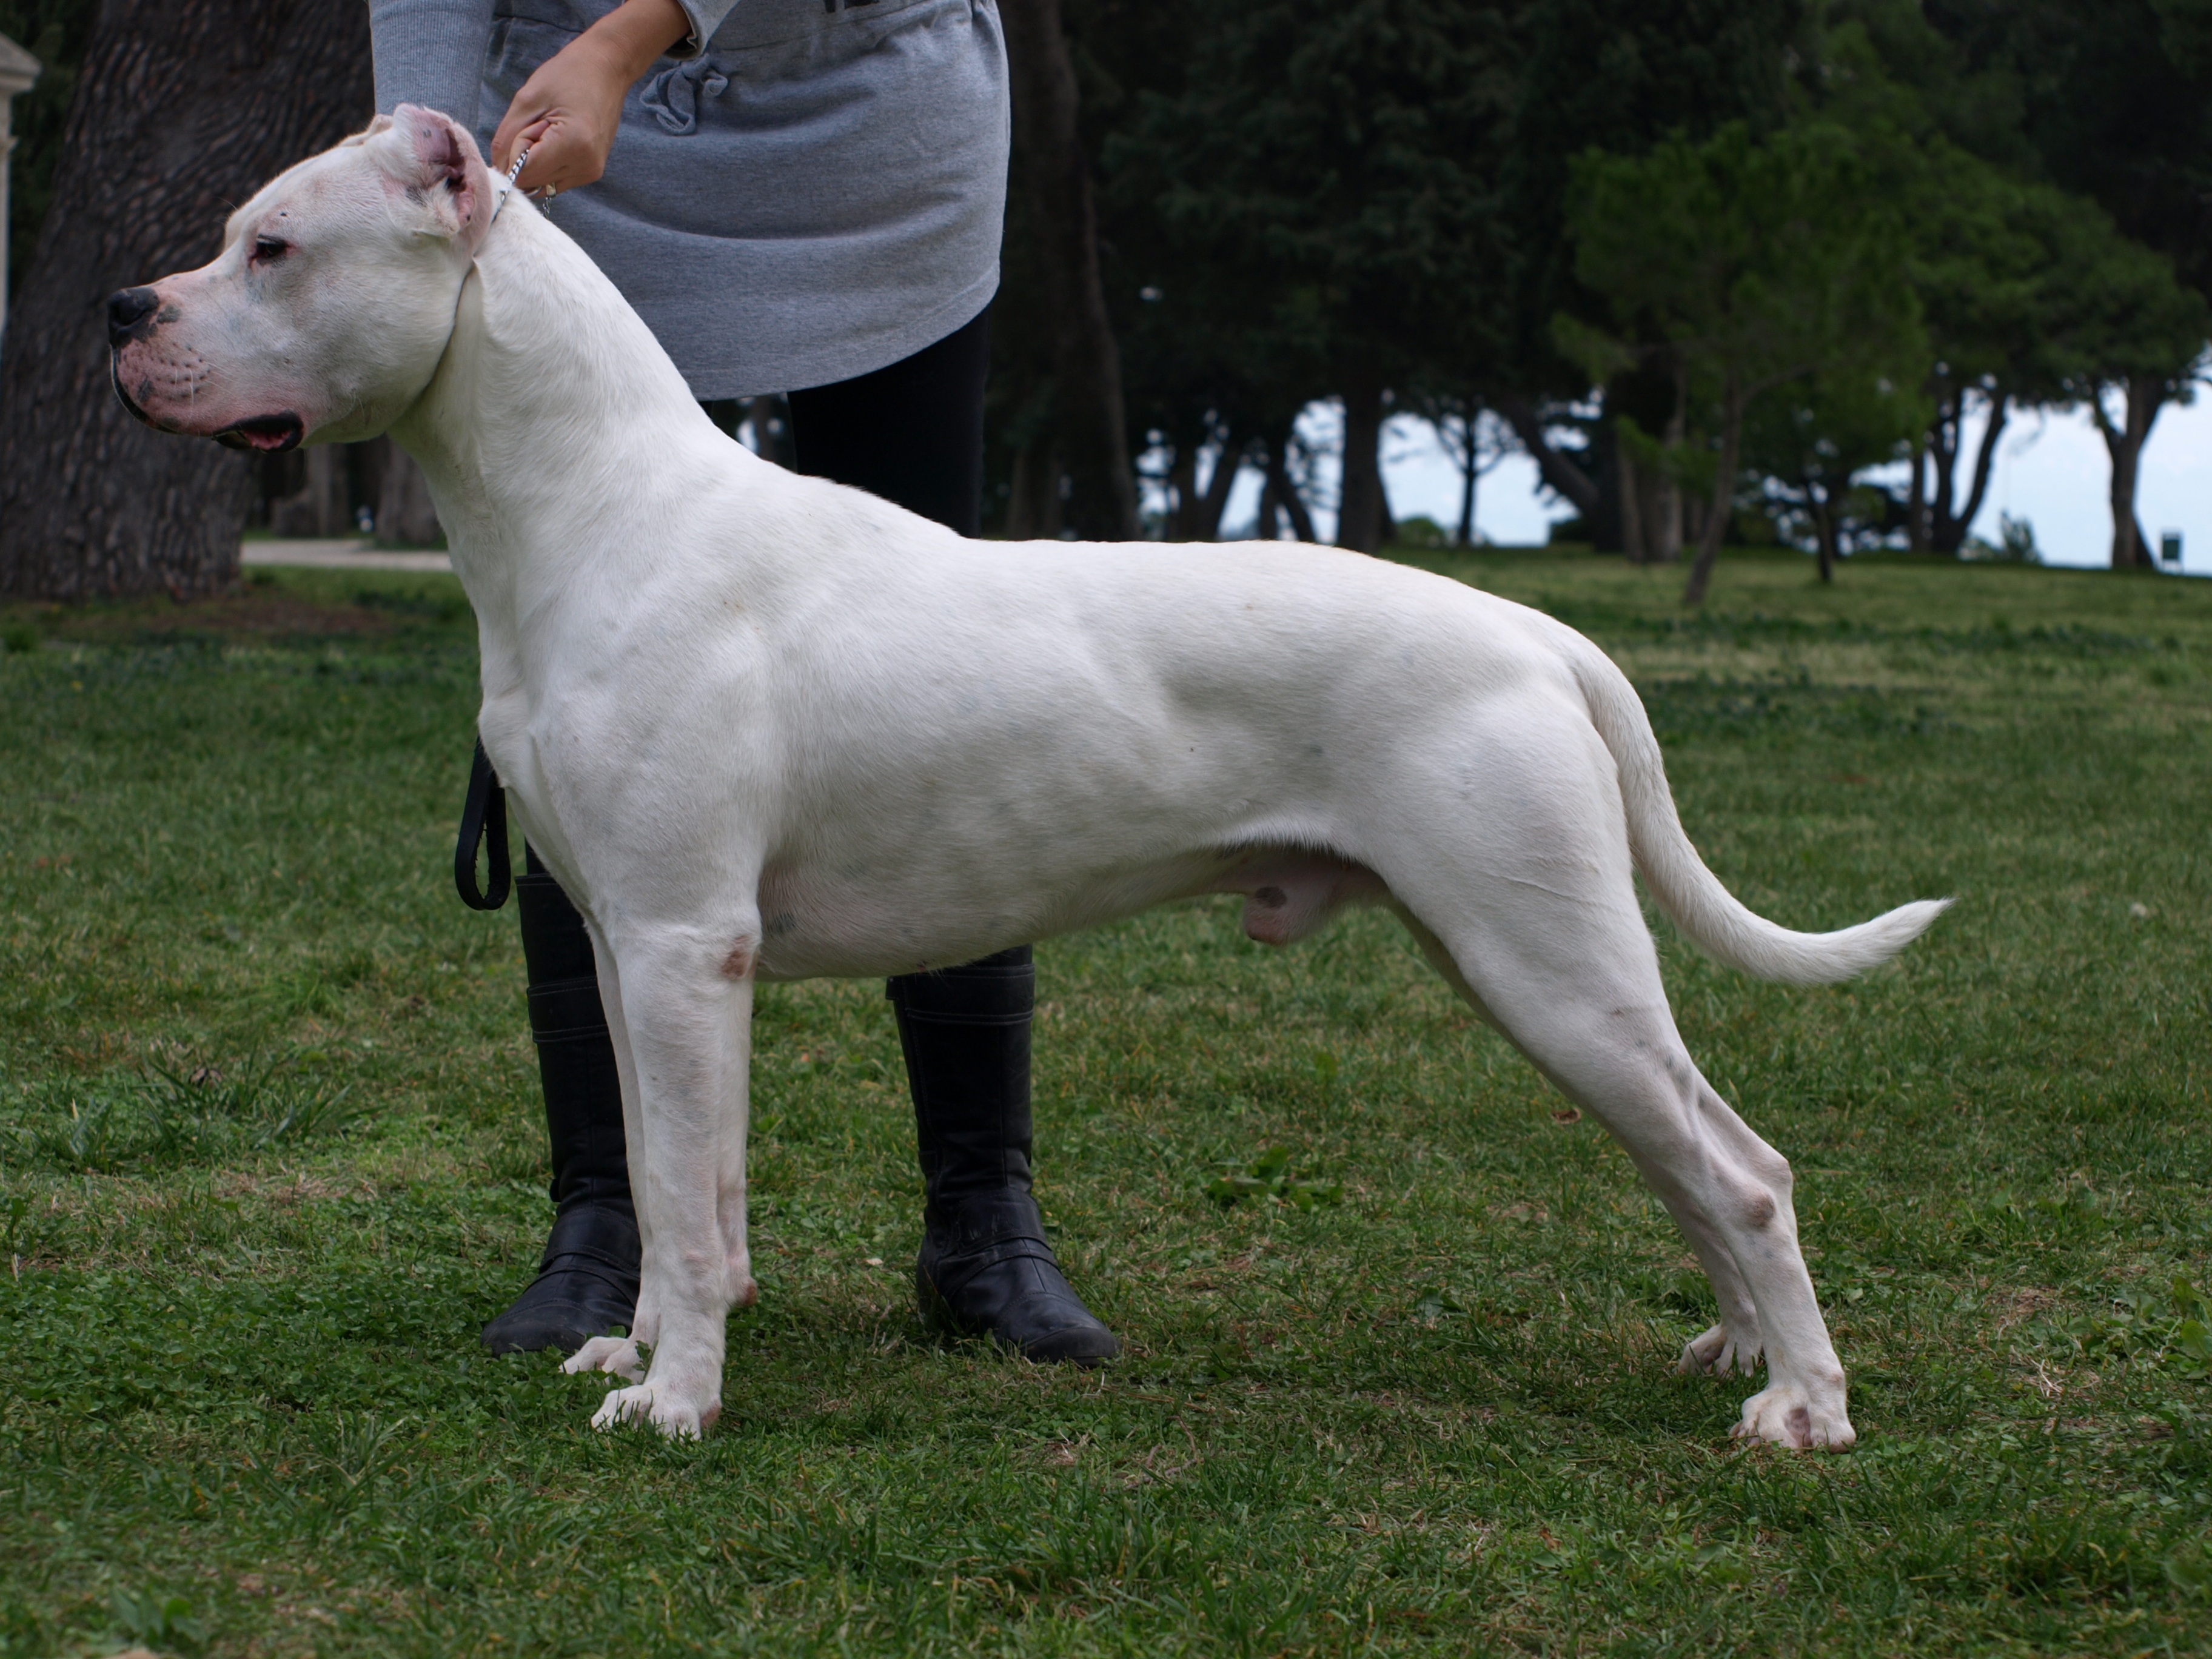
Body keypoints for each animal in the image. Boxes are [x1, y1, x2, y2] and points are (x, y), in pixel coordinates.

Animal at [116, 110, 1955, 1451]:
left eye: (272, 245)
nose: (125, 314)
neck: (588, 504)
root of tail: (1541, 631)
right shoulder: (632, 950)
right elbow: (660, 1174)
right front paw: (633, 1356)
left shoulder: (683, 945)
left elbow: (690, 1213)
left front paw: (679, 1404)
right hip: (1526, 961)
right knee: (1694, 1158)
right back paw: (1739, 1353)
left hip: (1545, 959)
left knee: (1743, 1169)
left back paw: (1805, 1409)